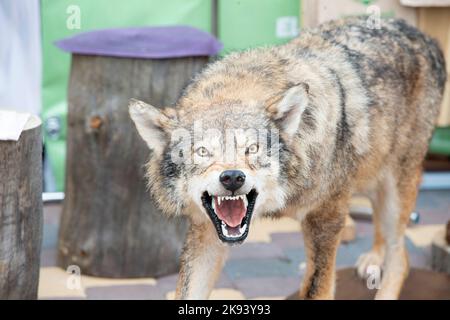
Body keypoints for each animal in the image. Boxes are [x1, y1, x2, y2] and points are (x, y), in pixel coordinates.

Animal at [128, 16, 444, 298]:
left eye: (252, 149)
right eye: (203, 152)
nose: (232, 177)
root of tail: (424, 37)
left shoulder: (325, 218)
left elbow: (316, 289)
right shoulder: (205, 231)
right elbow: (186, 291)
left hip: (394, 192)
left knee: (401, 257)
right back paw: (373, 258)